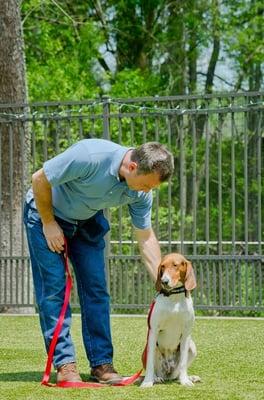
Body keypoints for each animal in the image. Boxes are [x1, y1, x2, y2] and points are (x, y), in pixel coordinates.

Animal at [140, 253, 200, 388]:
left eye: (175, 265)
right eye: (162, 266)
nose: (164, 281)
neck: (174, 298)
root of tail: (167, 373)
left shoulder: (186, 333)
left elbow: (183, 363)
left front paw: (185, 381)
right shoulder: (153, 331)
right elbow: (150, 363)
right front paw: (147, 382)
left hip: (192, 347)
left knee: (177, 373)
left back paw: (189, 377)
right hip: (148, 347)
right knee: (154, 369)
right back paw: (156, 378)